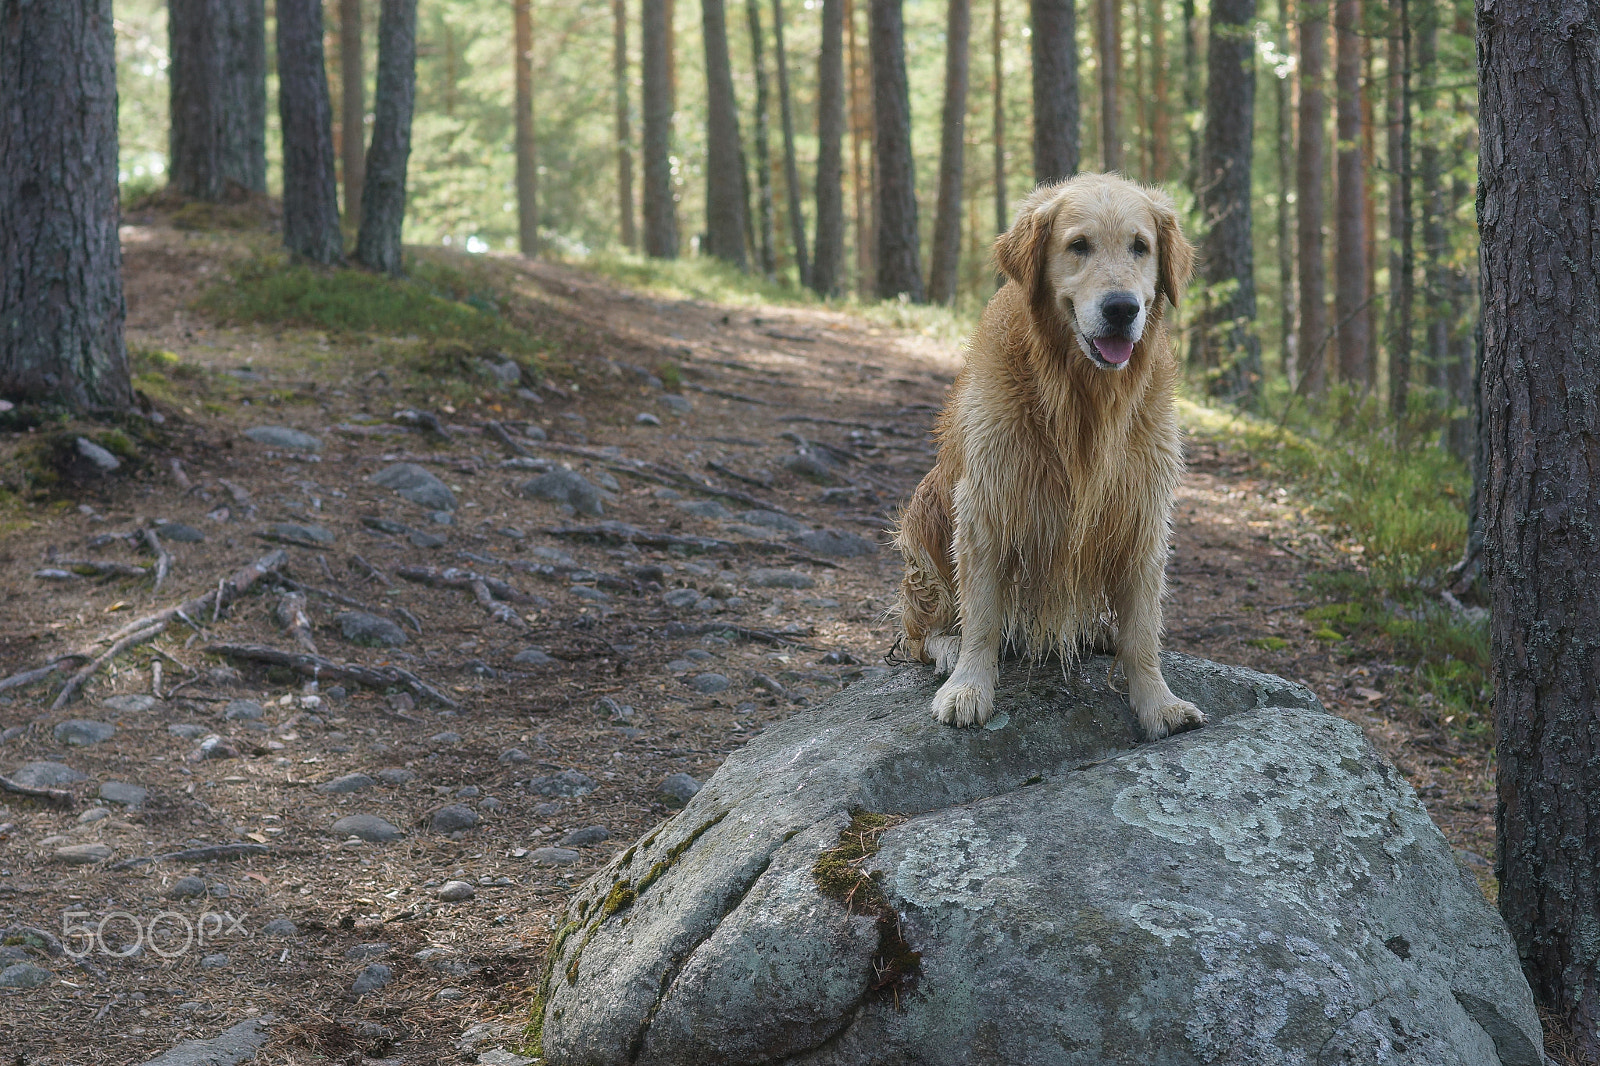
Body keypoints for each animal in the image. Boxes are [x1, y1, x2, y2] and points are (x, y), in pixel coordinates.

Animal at [889, 176, 1203, 739]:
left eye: (1140, 246)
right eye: (1078, 245)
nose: (1122, 308)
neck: (1083, 396)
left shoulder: (1142, 513)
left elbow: (1143, 630)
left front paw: (1158, 701)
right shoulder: (985, 504)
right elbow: (982, 617)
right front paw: (969, 687)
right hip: (923, 516)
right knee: (922, 632)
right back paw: (945, 647)